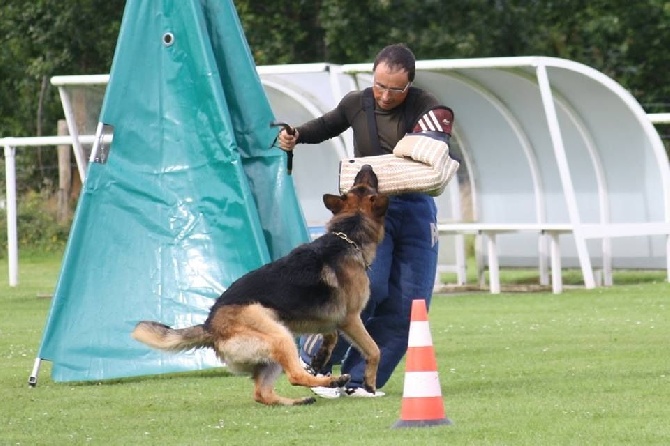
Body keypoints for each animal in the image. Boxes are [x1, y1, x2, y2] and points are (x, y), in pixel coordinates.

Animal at [132, 166, 392, 406]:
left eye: (359, 185)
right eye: (366, 186)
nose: (366, 166)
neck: (348, 234)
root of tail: (210, 326)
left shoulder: (324, 318)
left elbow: (330, 334)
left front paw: (320, 357)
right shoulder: (351, 318)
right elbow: (374, 349)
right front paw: (369, 382)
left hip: (275, 344)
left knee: (261, 393)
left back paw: (299, 400)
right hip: (280, 336)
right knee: (294, 376)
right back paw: (332, 381)